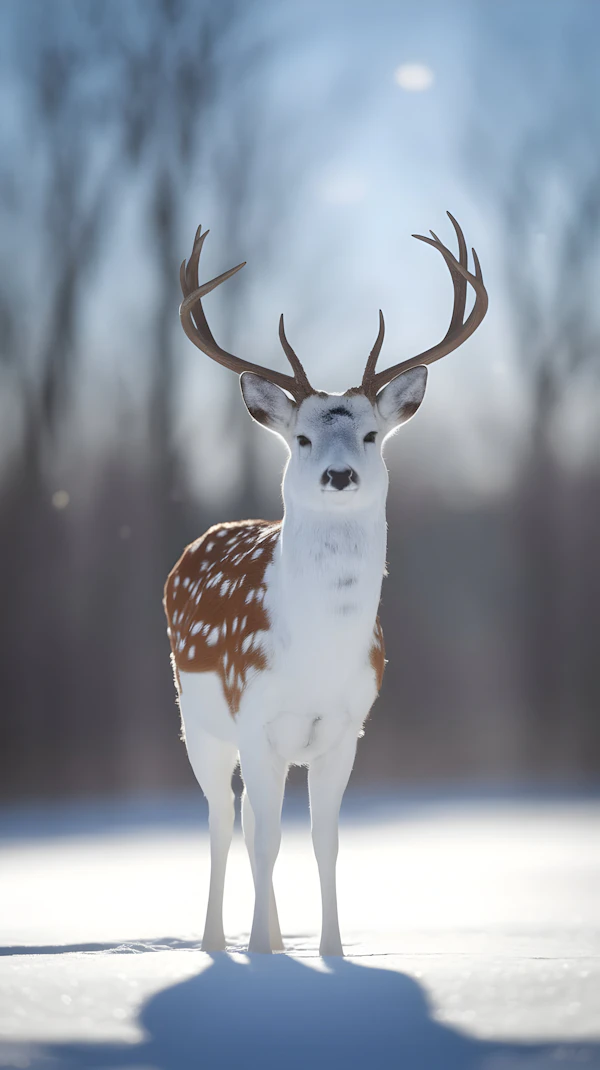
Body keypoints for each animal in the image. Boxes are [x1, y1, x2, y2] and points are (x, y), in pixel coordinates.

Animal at [164, 213, 488, 955]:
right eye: (303, 439)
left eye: (370, 435)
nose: (340, 476)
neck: (313, 655)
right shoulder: (254, 716)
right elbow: (263, 842)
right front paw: (261, 956)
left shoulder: (344, 730)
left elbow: (325, 843)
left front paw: (330, 953)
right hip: (200, 722)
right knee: (224, 822)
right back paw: (216, 943)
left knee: (252, 821)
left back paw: (277, 940)